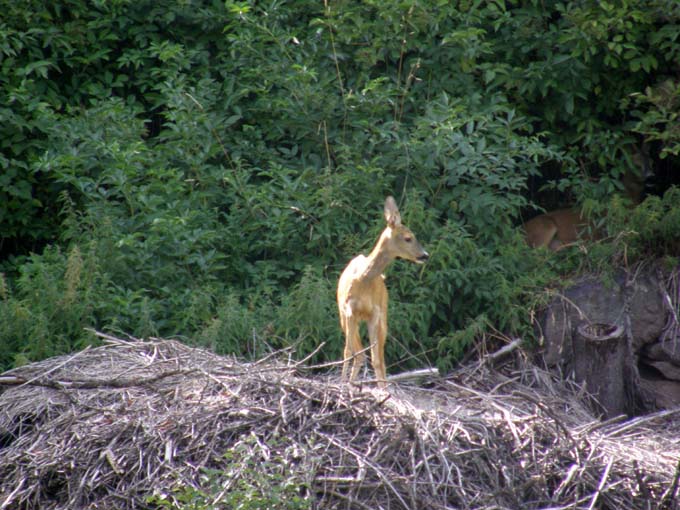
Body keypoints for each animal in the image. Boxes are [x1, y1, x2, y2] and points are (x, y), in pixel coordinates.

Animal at [338, 197, 428, 388]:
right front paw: (341, 385)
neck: (363, 280)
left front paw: (383, 391)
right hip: (345, 318)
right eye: (408, 238)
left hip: (383, 317)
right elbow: (347, 352)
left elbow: (376, 359)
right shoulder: (349, 310)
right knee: (358, 353)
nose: (425, 255)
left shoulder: (375, 313)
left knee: (376, 356)